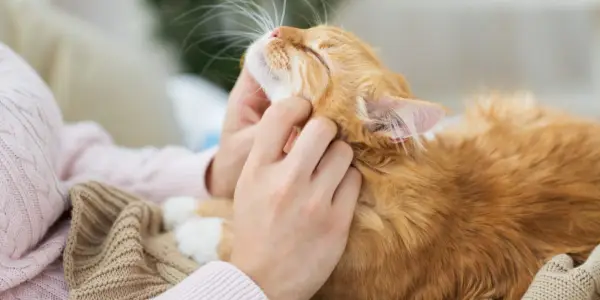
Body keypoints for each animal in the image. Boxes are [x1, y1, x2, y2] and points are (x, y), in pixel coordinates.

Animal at [163, 25, 600, 300]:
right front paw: (185, 206)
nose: (275, 32)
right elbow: (234, 201)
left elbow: (237, 238)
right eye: (305, 29)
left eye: (315, 53)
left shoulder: (334, 284)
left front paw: (199, 232)